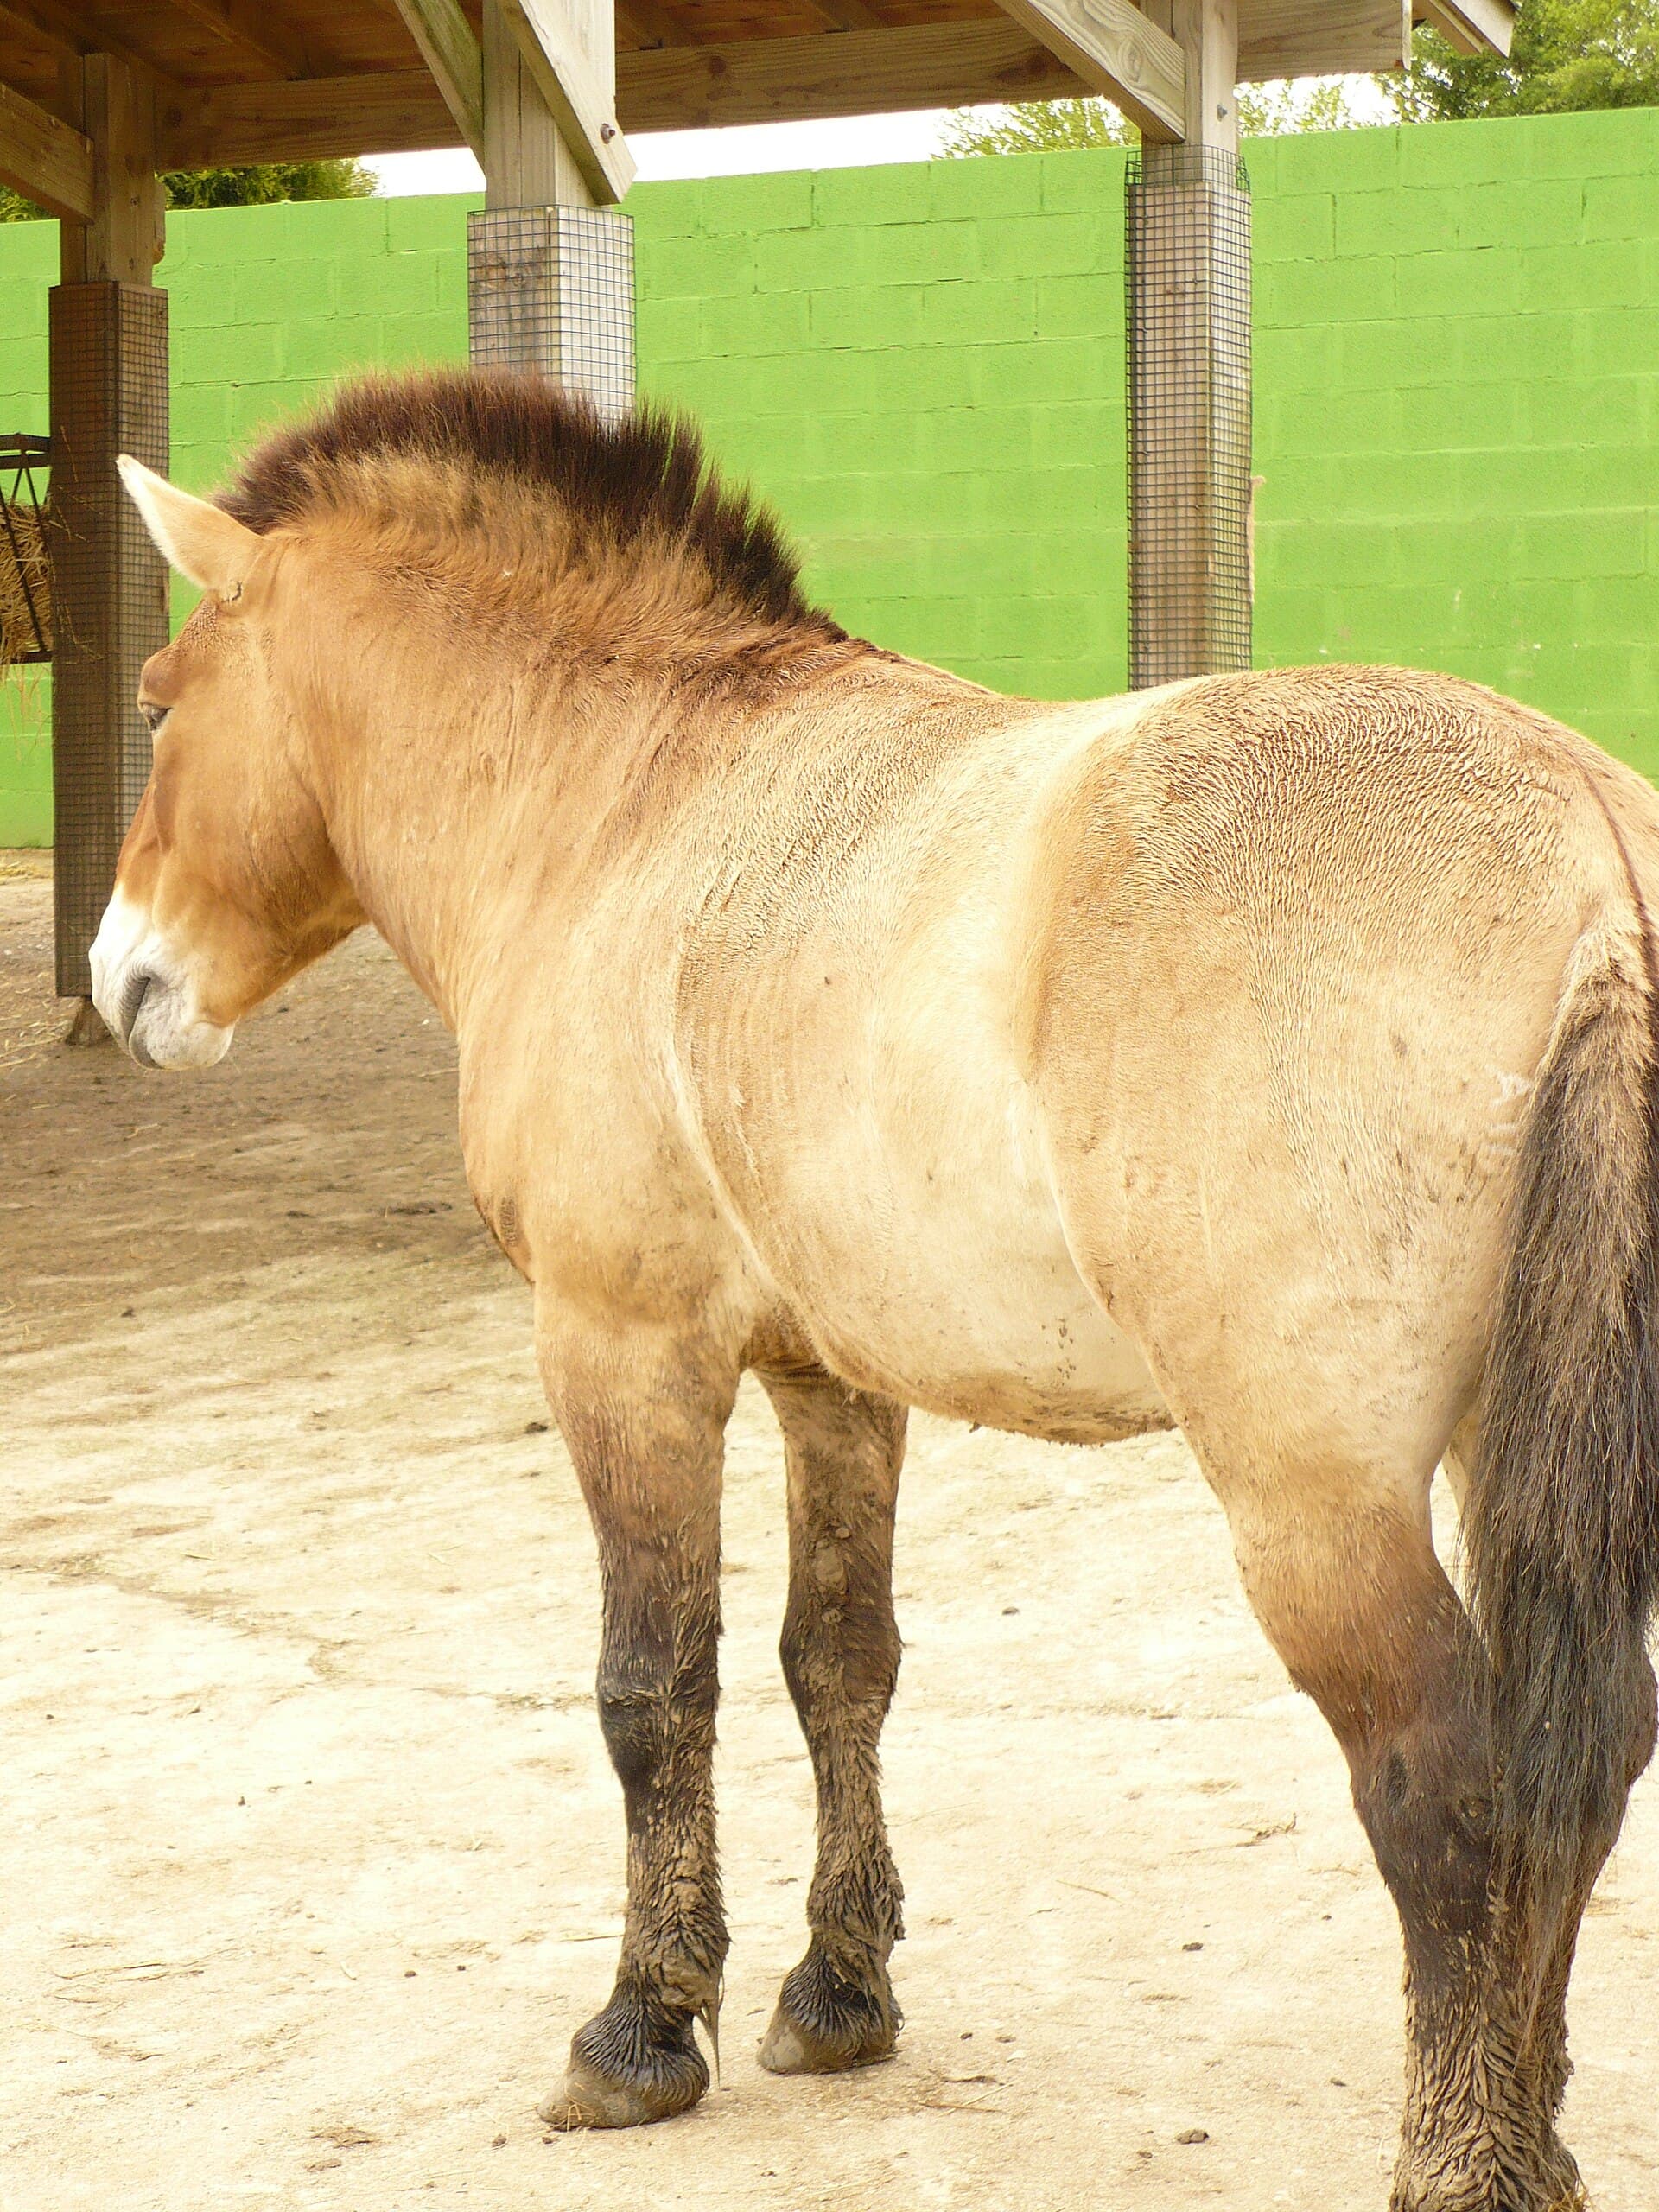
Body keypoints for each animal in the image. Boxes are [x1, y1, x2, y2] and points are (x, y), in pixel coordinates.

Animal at [94, 367, 1656, 2211]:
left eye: (160, 704)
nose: (122, 979)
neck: (629, 801)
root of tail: (1586, 850)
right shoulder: (829, 1379)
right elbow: (837, 1660)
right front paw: (837, 1991)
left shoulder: (620, 1355)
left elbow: (654, 1685)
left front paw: (642, 2028)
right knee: (1581, 1762)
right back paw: (1534, 2139)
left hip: (1314, 1502)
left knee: (1447, 1790)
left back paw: (1462, 2161)